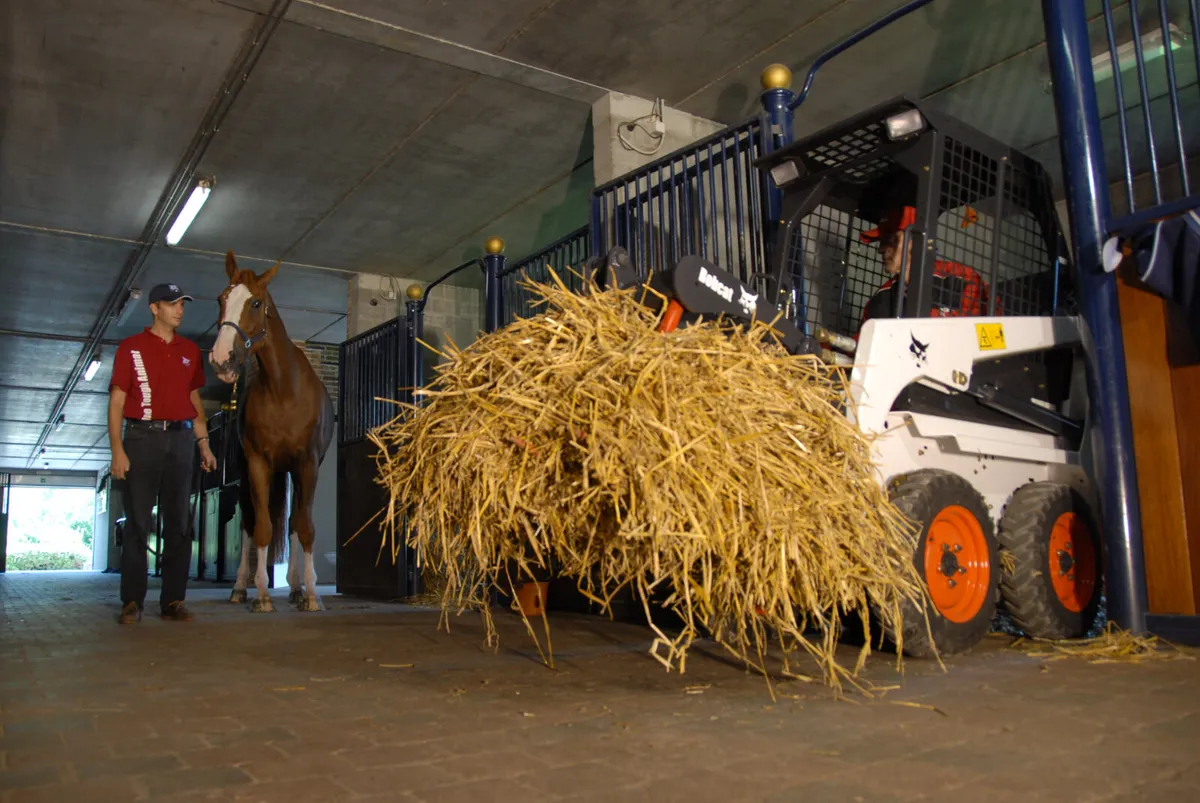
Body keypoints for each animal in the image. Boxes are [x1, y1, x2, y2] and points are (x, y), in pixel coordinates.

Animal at [210, 253, 333, 609]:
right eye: (221, 299)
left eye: (255, 302)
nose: (222, 359)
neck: (284, 392)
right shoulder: (257, 463)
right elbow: (262, 527)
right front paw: (262, 594)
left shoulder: (307, 464)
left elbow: (303, 527)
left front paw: (311, 594)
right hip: (246, 472)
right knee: (249, 523)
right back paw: (240, 587)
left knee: (291, 524)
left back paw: (295, 587)